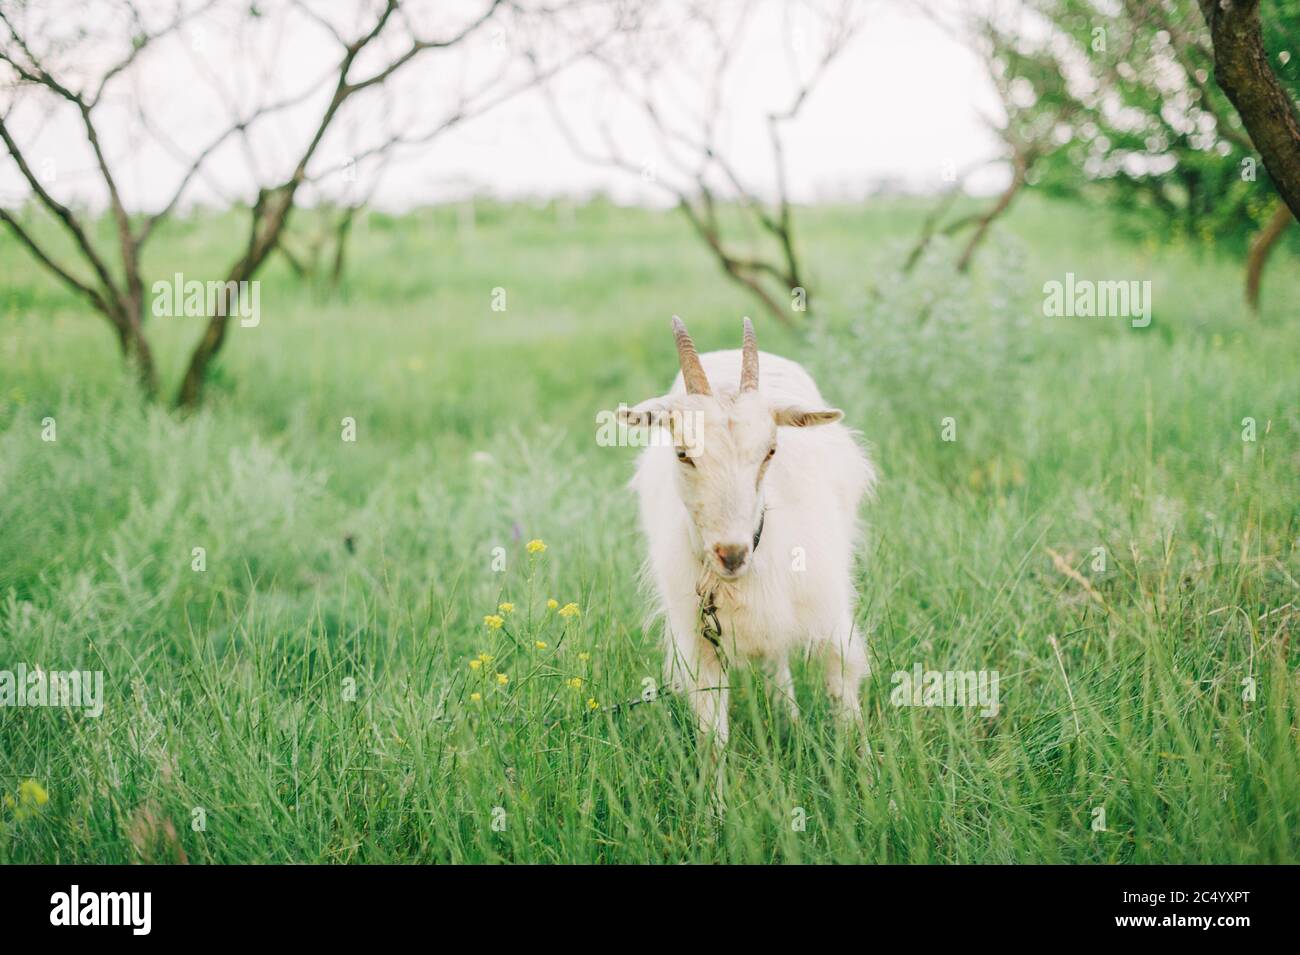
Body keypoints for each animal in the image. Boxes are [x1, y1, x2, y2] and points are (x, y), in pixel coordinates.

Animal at [620, 316, 876, 747]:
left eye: (770, 451)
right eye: (682, 453)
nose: (732, 554)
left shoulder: (829, 614)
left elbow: (844, 693)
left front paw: (863, 761)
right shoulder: (700, 644)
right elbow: (713, 734)